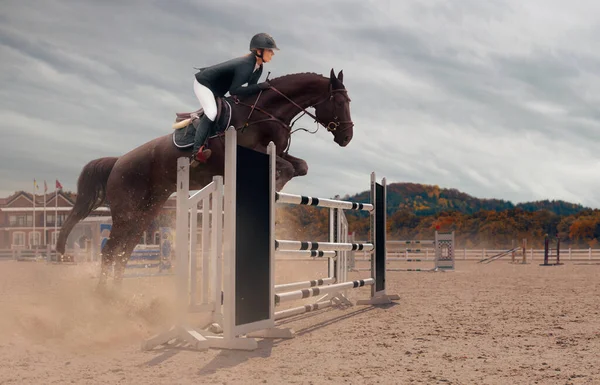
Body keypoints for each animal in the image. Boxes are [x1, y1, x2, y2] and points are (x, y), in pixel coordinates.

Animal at [55, 67, 356, 286]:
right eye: (340, 101)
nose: (347, 137)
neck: (267, 112)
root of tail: (117, 162)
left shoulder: (281, 152)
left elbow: (300, 166)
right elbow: (288, 169)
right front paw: (273, 190)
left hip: (146, 211)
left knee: (124, 250)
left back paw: (116, 295)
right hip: (128, 211)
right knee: (111, 251)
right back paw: (105, 296)